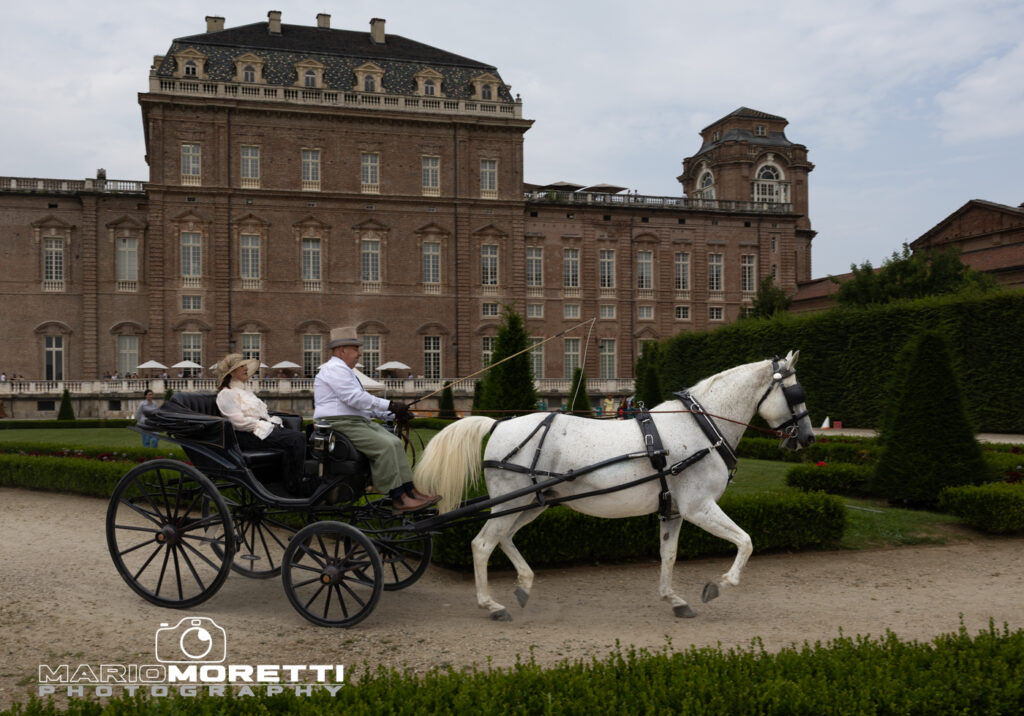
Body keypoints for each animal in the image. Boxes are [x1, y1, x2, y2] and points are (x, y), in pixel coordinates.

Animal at [413, 351, 815, 621]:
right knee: (483, 544)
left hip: (533, 502)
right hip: (514, 502)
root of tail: (499, 423)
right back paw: (491, 604)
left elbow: (668, 556)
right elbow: (746, 542)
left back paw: (524, 584)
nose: (809, 438)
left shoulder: (673, 511)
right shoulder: (698, 507)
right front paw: (717, 586)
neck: (701, 428)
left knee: (504, 538)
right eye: (797, 394)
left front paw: (674, 599)